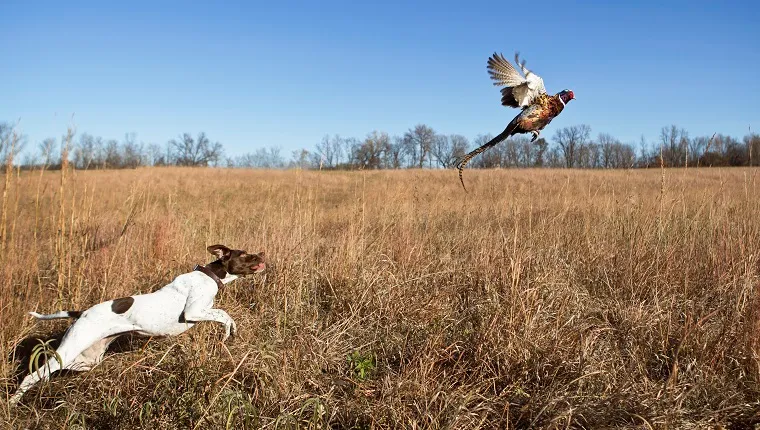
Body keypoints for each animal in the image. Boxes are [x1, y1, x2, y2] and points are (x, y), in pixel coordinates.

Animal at [7, 244, 264, 404]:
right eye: (244, 254)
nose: (262, 253)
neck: (210, 274)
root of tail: (82, 313)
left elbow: (223, 314)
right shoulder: (193, 312)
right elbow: (223, 314)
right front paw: (229, 330)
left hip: (86, 359)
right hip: (70, 348)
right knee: (32, 376)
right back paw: (12, 402)